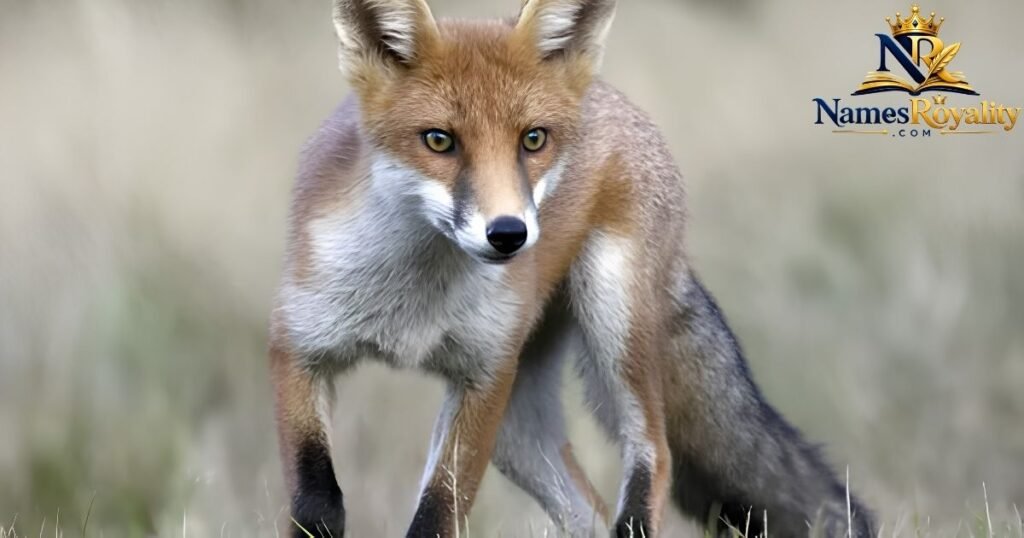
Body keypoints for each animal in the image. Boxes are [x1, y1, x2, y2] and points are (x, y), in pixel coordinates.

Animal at [269, 0, 875, 536]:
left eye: (532, 139)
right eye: (438, 140)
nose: (508, 234)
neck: (413, 301)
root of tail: (611, 97)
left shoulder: (484, 375)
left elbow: (437, 515)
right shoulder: (298, 349)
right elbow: (318, 504)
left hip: (613, 323)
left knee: (653, 451)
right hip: (518, 432)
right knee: (589, 512)